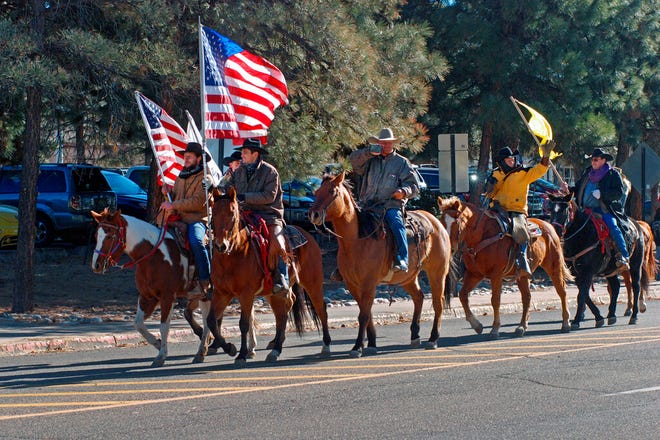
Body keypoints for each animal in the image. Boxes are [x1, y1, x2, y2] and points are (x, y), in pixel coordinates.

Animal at [195, 187, 330, 366]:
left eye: (232, 214)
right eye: (214, 213)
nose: (220, 245)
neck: (233, 254)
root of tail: (308, 235)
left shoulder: (246, 294)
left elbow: (244, 324)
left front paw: (242, 354)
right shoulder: (221, 293)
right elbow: (211, 320)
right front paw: (229, 348)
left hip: (312, 283)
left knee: (321, 309)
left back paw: (325, 345)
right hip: (274, 293)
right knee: (283, 313)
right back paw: (276, 347)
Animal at [306, 172, 452, 358]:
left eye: (332, 191)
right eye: (316, 192)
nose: (314, 215)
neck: (358, 240)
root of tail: (436, 222)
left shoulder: (369, 283)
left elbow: (363, 315)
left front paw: (357, 347)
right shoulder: (352, 284)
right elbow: (366, 312)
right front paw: (371, 344)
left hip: (437, 272)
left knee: (438, 302)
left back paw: (433, 339)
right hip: (408, 277)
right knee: (418, 297)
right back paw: (415, 335)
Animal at [438, 196, 572, 336]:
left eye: (456, 222)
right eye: (441, 221)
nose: (448, 247)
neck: (482, 237)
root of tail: (549, 225)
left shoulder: (496, 274)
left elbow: (495, 300)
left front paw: (495, 328)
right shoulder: (474, 274)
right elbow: (463, 295)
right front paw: (477, 325)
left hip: (554, 266)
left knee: (562, 291)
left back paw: (566, 323)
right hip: (523, 275)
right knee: (527, 297)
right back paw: (522, 326)